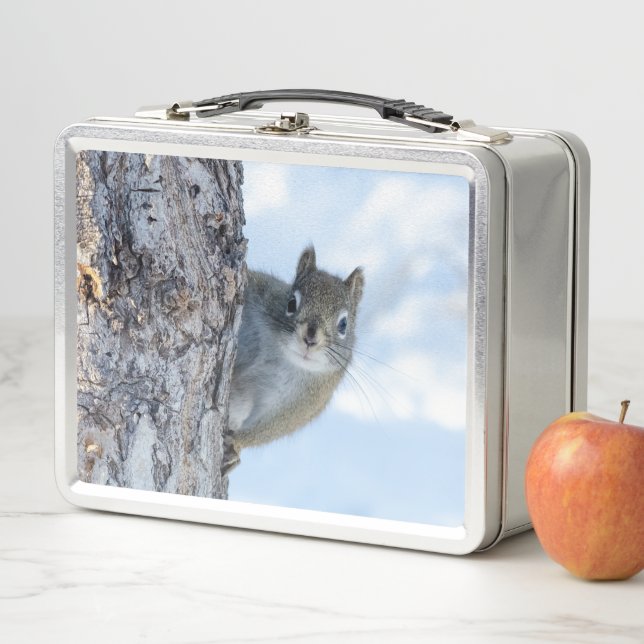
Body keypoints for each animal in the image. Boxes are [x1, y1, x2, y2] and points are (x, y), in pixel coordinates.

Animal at [224, 245, 364, 474]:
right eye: (291, 303)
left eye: (343, 324)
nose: (310, 339)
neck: (283, 356)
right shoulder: (260, 292)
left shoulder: (305, 401)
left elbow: (273, 427)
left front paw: (237, 443)